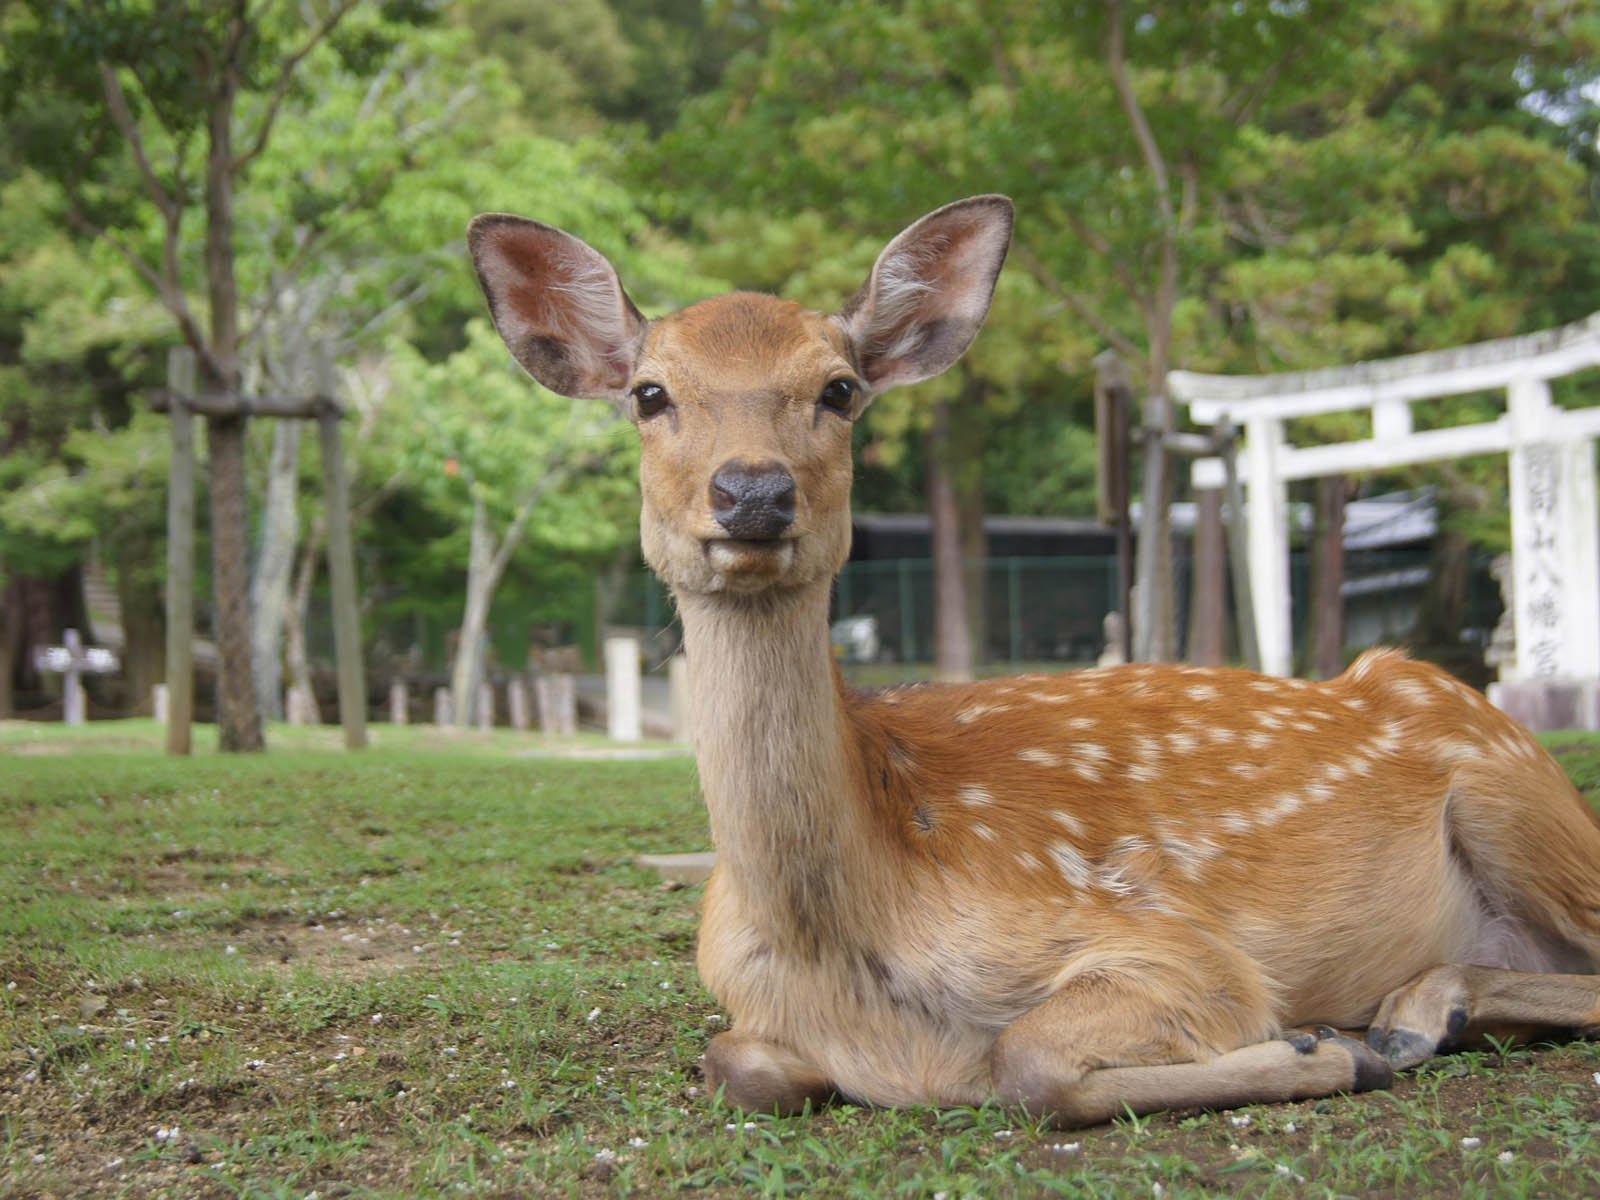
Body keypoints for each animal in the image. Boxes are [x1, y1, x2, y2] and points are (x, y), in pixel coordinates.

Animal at [467, 195, 1600, 1126]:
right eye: (650, 394)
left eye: (839, 388)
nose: (753, 492)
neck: (842, 948)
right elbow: (738, 1063)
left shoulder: (1179, 946)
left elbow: (1029, 1060)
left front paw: (1323, 1049)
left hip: (1516, 794)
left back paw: (1410, 1014)